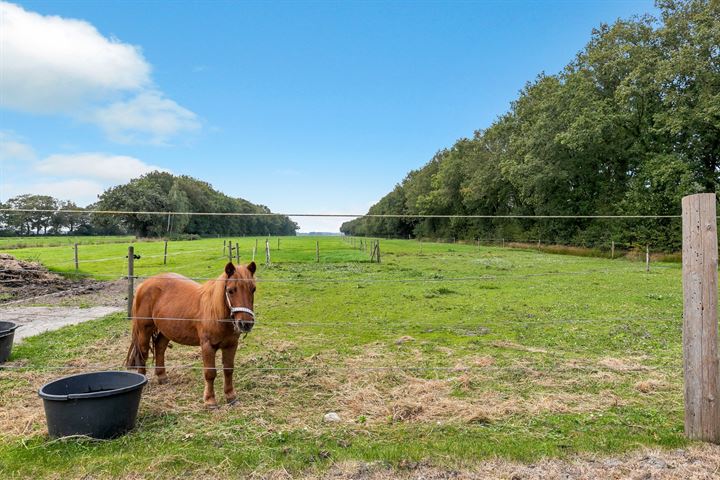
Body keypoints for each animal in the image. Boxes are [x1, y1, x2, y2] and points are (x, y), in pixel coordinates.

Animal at [126, 262, 256, 404]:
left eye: (253, 289)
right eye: (230, 290)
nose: (246, 323)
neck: (215, 312)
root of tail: (143, 284)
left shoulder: (231, 345)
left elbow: (228, 370)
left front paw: (230, 396)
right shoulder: (207, 346)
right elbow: (210, 373)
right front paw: (210, 400)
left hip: (166, 330)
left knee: (160, 348)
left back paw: (162, 377)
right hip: (144, 330)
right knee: (142, 354)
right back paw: (143, 380)